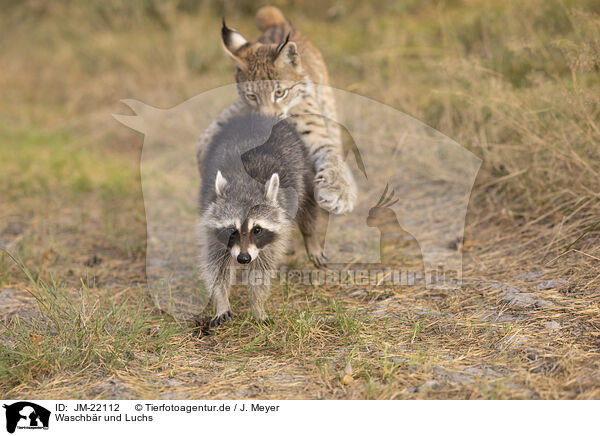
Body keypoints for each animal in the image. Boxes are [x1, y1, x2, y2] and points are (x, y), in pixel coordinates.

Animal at [200, 114, 324, 326]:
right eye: (231, 230)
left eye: (257, 229)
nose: (243, 259)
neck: (244, 184)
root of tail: (259, 115)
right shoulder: (213, 231)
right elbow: (217, 268)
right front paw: (221, 301)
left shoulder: (271, 237)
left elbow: (262, 270)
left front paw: (257, 304)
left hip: (303, 165)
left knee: (307, 204)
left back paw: (310, 237)